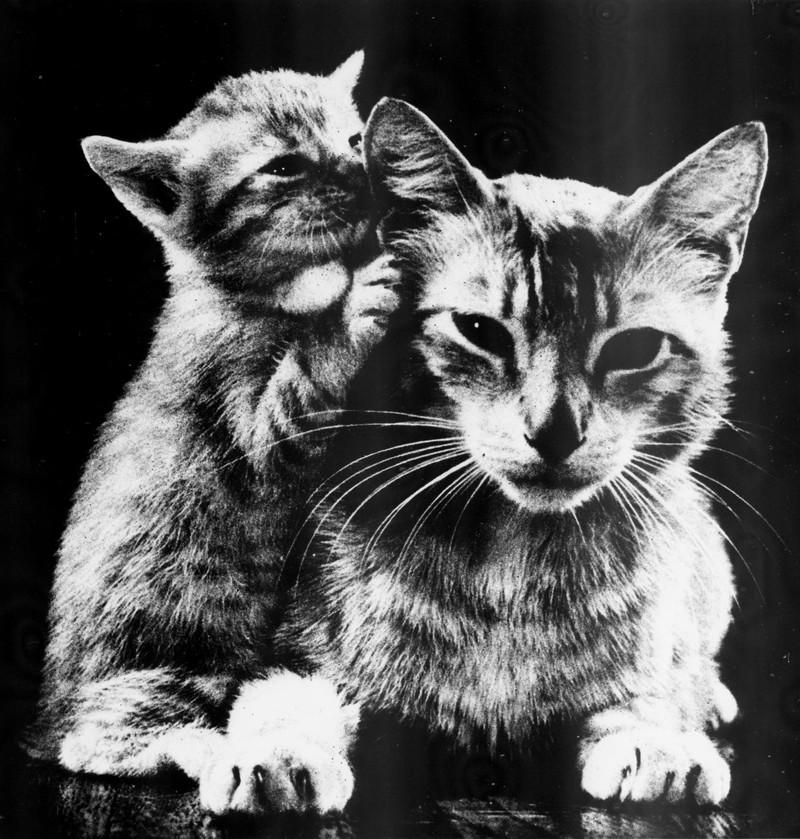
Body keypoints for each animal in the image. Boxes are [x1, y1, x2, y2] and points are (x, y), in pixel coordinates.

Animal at [29, 52, 400, 817]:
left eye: (353, 139)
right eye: (284, 167)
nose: (359, 170)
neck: (257, 296)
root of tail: (52, 710)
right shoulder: (249, 425)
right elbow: (302, 386)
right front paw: (348, 312)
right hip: (170, 663)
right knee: (100, 744)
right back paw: (221, 756)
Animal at [280, 98, 767, 807]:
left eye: (634, 348)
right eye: (478, 329)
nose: (554, 431)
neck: (512, 566)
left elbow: (644, 693)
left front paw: (659, 742)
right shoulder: (307, 640)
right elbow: (299, 691)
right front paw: (283, 751)